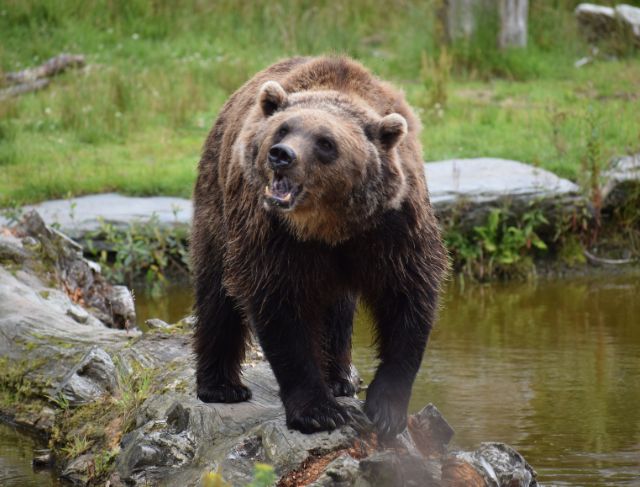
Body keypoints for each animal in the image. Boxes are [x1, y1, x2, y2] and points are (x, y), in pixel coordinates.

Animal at [191, 56, 447, 440]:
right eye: (283, 129)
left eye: (326, 142)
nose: (281, 155)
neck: (329, 225)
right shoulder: (272, 235)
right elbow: (282, 310)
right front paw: (318, 412)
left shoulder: (394, 229)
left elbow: (407, 298)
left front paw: (386, 409)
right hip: (217, 204)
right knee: (216, 292)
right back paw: (221, 386)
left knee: (338, 310)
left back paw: (342, 379)